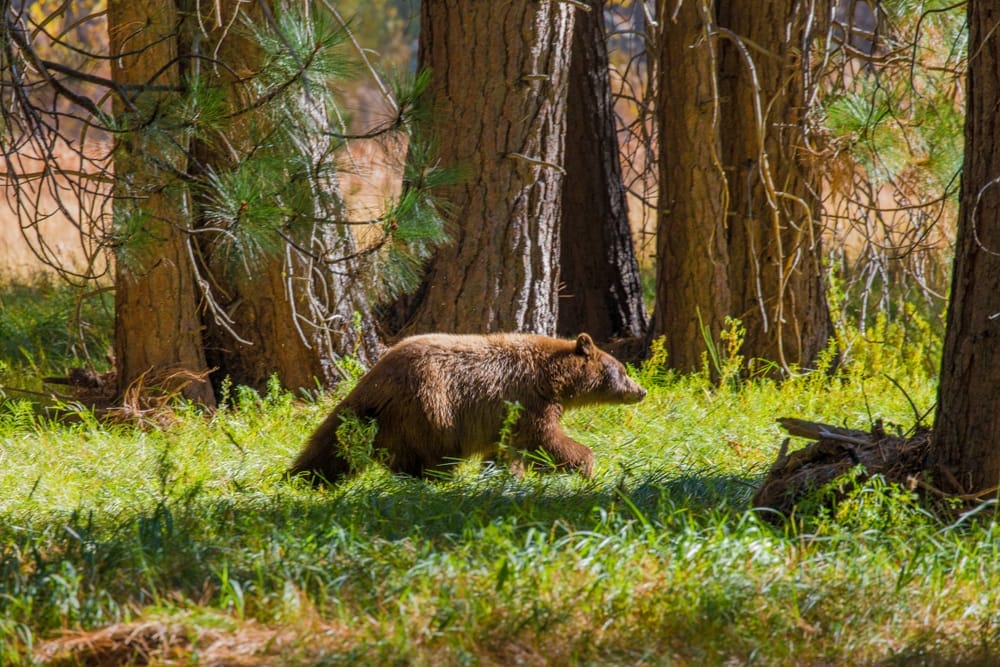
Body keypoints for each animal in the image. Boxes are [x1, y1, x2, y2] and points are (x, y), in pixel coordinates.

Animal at [288, 332, 646, 485]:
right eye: (623, 370)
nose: (641, 391)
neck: (552, 377)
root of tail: (376, 378)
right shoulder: (527, 401)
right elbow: (543, 441)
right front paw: (585, 463)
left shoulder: (501, 416)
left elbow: (504, 449)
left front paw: (504, 475)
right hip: (430, 410)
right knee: (431, 456)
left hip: (366, 415)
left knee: (329, 446)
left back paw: (301, 476)